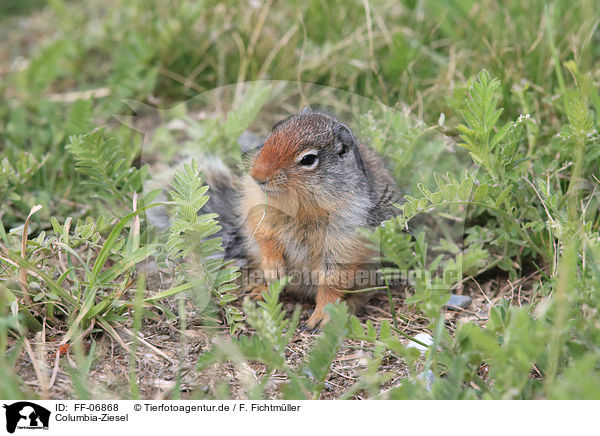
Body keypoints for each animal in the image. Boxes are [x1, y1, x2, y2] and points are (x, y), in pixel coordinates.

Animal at [204, 110, 400, 328]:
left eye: (308, 159)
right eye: (271, 136)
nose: (257, 175)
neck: (301, 205)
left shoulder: (345, 240)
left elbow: (332, 281)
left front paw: (321, 316)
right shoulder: (257, 206)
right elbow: (265, 235)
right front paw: (273, 266)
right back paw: (260, 290)